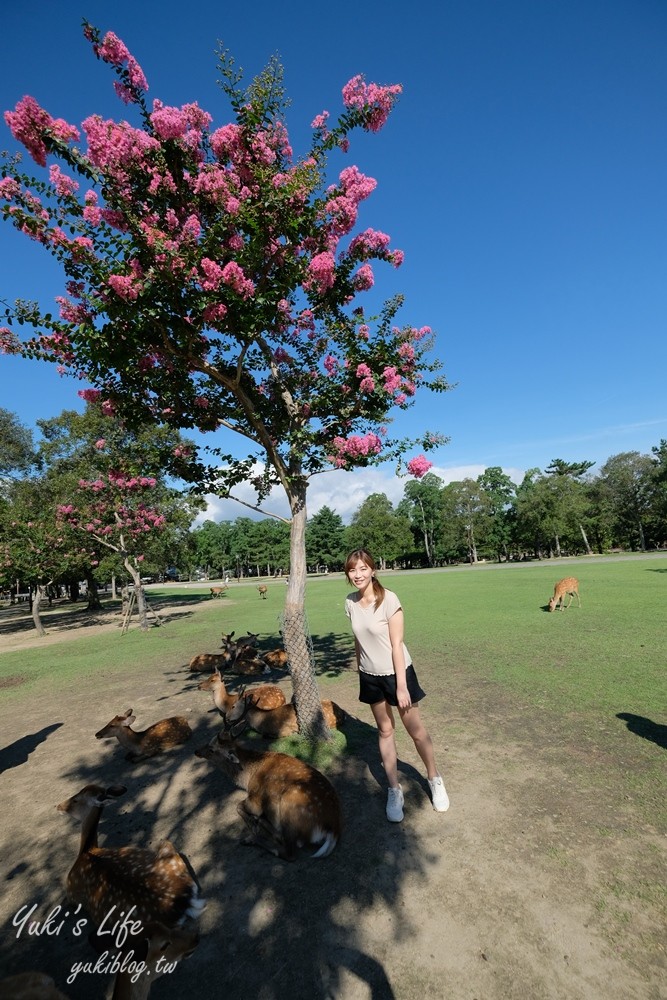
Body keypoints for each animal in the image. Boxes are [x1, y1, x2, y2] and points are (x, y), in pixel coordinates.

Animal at [57, 788, 206, 928]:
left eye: (75, 799)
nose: (58, 806)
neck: (86, 851)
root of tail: (184, 902)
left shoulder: (71, 893)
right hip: (168, 849)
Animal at [192, 720, 340, 860]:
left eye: (212, 749)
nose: (196, 751)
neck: (247, 778)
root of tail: (333, 830)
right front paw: (254, 822)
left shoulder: (255, 799)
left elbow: (238, 805)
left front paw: (252, 824)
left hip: (289, 805)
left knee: (289, 852)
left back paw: (251, 837)